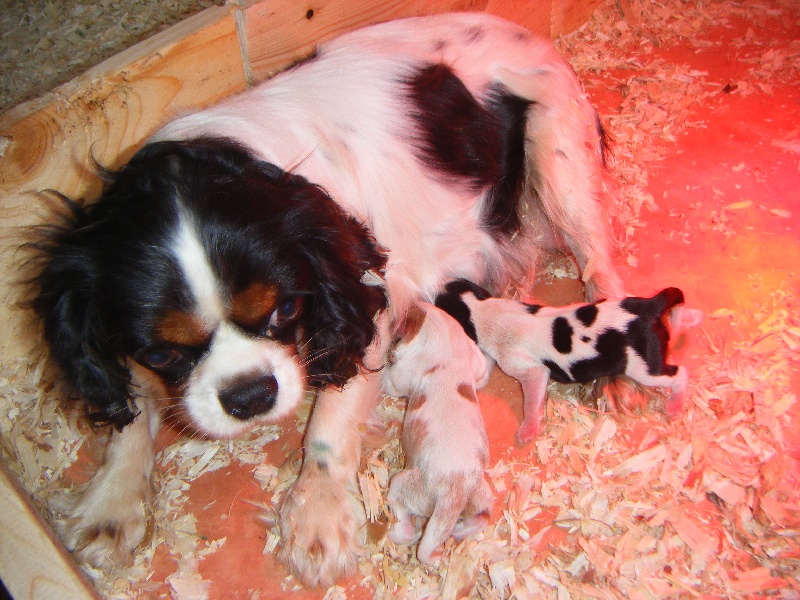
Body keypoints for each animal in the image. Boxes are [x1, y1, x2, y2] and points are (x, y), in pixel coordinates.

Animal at [382, 302, 494, 564]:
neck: (447, 339)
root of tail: (453, 492)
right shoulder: (475, 363)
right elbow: (482, 372)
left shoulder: (400, 374)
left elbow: (390, 381)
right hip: (482, 496)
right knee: (482, 517)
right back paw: (458, 531)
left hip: (403, 485)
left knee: (404, 521)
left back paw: (402, 533)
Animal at [434, 278, 704, 442]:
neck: (482, 309)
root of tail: (650, 307)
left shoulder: (530, 371)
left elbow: (531, 403)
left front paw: (527, 431)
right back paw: (692, 317)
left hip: (645, 368)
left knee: (680, 373)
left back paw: (674, 406)